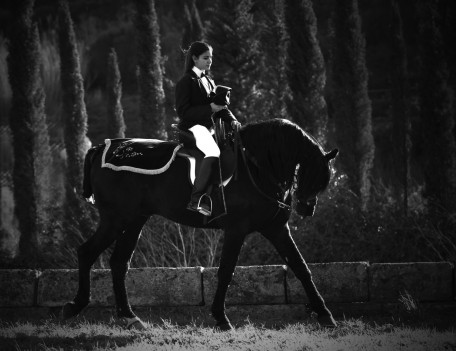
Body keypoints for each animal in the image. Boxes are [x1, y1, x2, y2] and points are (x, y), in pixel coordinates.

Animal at [61, 117, 338, 330]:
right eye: (310, 173)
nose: (307, 208)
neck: (256, 168)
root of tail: (105, 147)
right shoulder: (236, 230)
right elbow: (226, 271)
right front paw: (221, 318)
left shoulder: (277, 229)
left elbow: (301, 267)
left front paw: (325, 314)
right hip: (116, 219)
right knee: (87, 252)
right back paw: (76, 306)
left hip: (134, 220)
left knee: (119, 263)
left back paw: (129, 317)